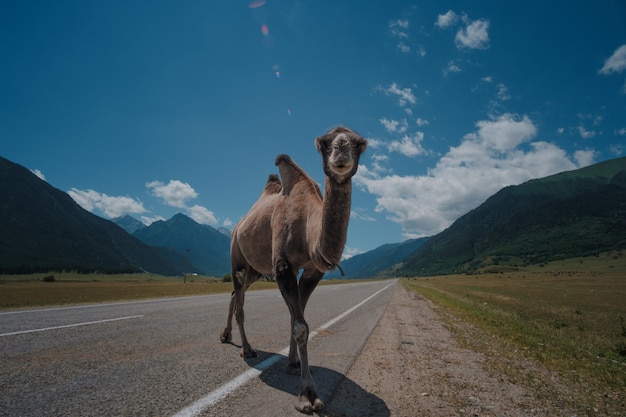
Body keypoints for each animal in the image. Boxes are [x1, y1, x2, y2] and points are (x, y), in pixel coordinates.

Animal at [219, 125, 366, 412]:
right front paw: (307, 394)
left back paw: (226, 335)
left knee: (234, 294)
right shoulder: (283, 266)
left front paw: (293, 363)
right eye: (324, 143)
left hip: (255, 268)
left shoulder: (311, 270)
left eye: (359, 144)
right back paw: (247, 349)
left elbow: (297, 317)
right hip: (236, 258)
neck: (309, 230)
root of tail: (237, 226)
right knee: (239, 300)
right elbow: (300, 326)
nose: (341, 149)